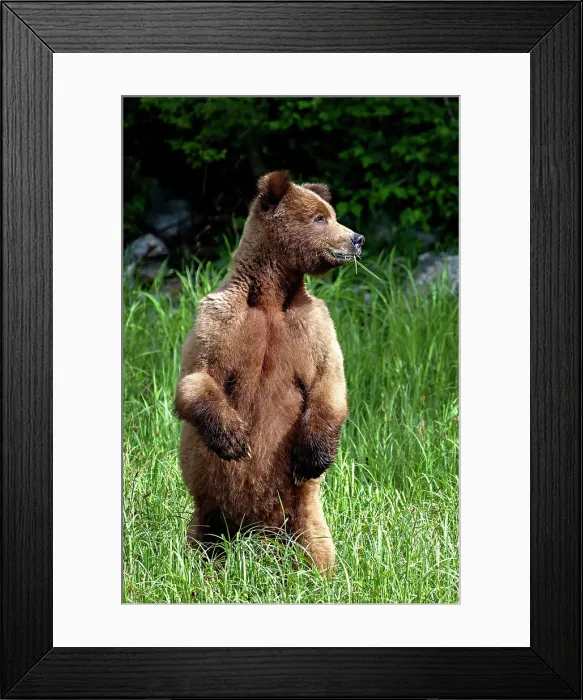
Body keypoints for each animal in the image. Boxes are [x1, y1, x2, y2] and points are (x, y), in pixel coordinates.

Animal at [175, 171, 364, 573]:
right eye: (320, 218)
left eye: (330, 213)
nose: (357, 239)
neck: (271, 297)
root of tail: (258, 531)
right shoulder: (222, 321)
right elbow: (196, 378)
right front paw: (234, 439)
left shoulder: (312, 327)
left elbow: (329, 382)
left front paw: (314, 455)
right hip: (207, 511)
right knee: (203, 541)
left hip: (303, 510)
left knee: (316, 543)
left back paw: (321, 575)